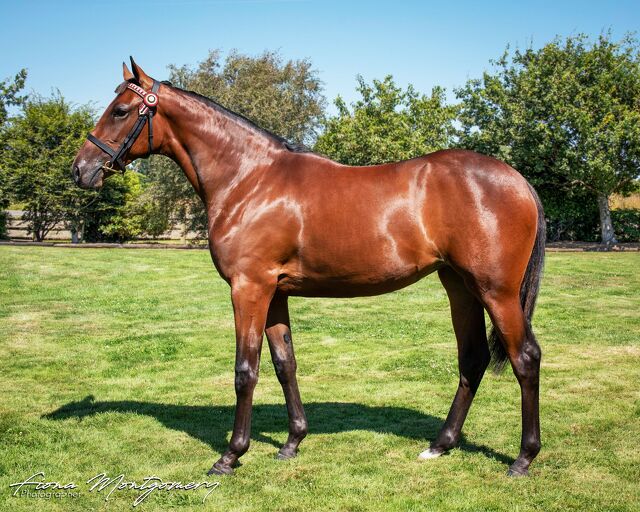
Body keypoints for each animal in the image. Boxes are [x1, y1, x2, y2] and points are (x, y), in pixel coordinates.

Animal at [72, 59, 545, 477]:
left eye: (120, 111)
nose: (81, 170)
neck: (249, 179)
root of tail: (518, 181)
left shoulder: (248, 288)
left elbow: (245, 371)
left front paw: (231, 455)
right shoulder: (275, 292)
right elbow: (285, 363)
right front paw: (292, 442)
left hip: (496, 291)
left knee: (525, 358)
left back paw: (523, 459)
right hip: (460, 286)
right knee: (473, 358)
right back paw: (441, 444)